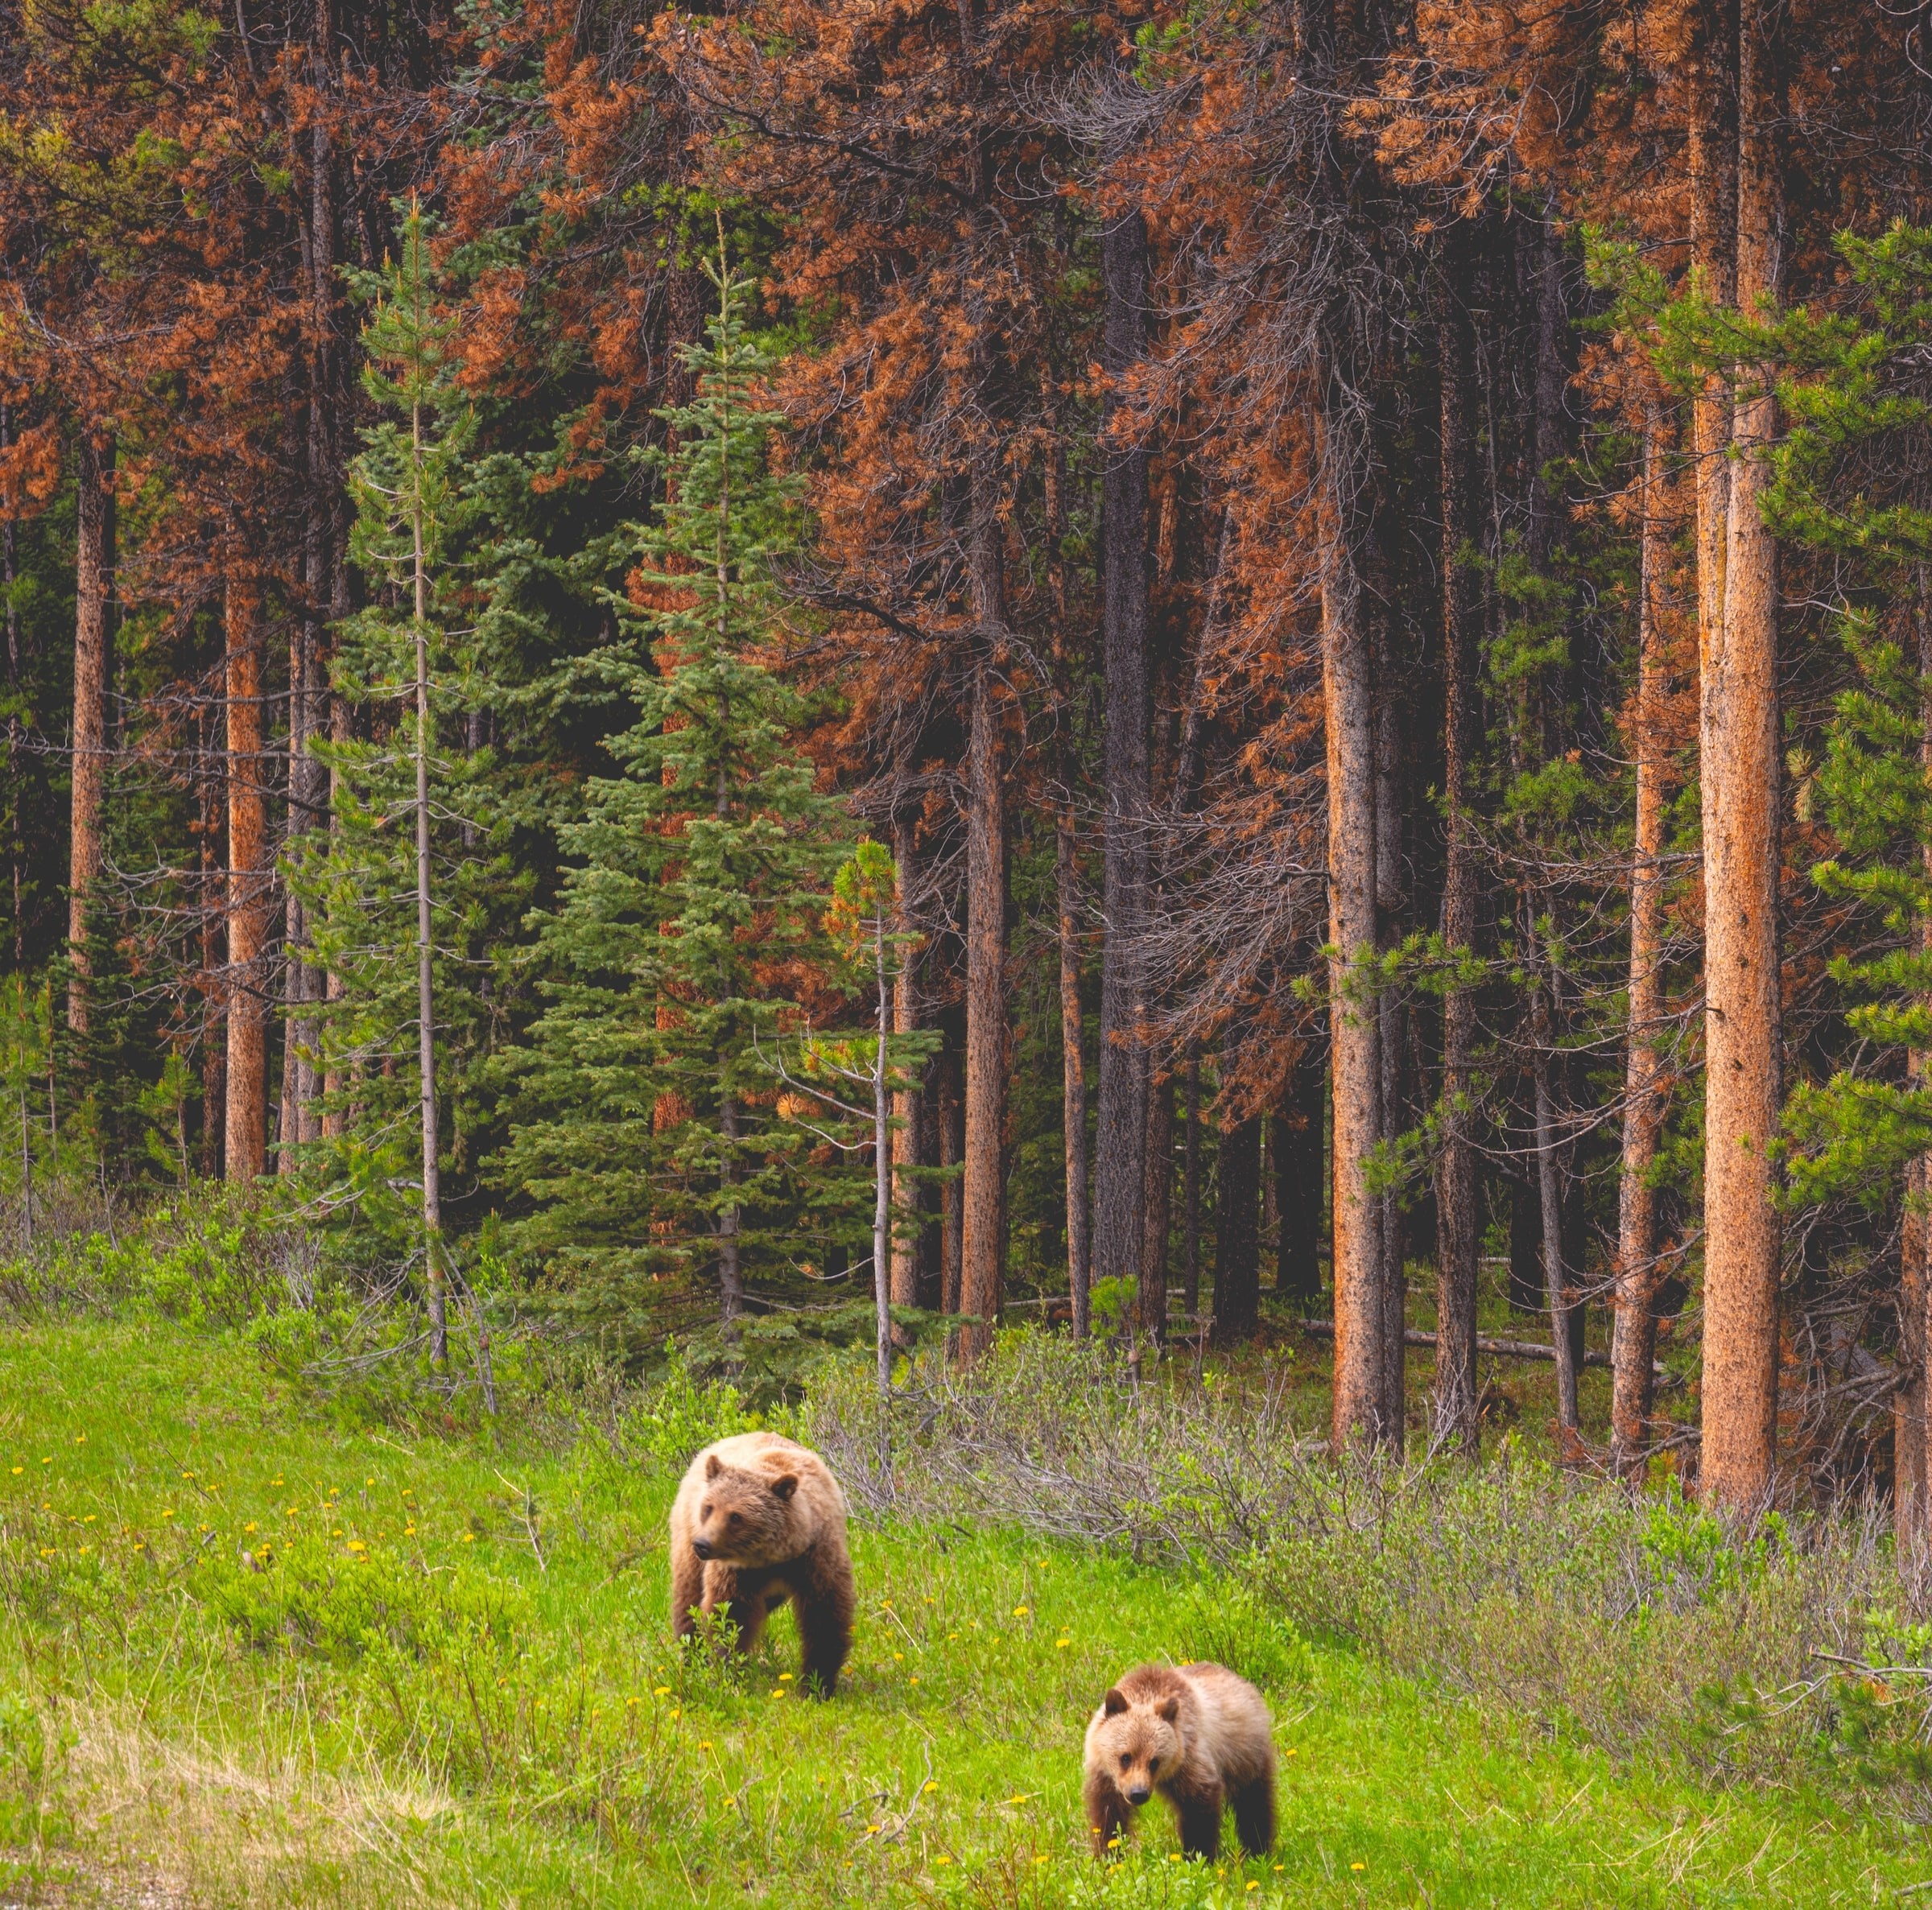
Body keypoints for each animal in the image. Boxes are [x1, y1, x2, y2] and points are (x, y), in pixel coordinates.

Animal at [667, 1432, 855, 1697]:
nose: (702, 1544)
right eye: (709, 1507)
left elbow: (824, 1615)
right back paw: (693, 1656)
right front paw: (731, 1670)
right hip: (687, 1538)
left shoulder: (815, 1558)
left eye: (736, 1516)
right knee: (688, 1599)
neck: (773, 1557)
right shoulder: (736, 1572)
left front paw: (817, 1684)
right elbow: (730, 1614)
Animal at [1082, 1661, 1277, 1861]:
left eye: (1154, 1761)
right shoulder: (1106, 1775)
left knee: (1253, 1804)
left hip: (1245, 1755)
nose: (1138, 1793)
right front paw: (1108, 1855)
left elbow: (1198, 1811)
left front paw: (1197, 1856)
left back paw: (1258, 1852)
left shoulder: (1189, 1760)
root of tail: (1243, 1682)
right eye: (1126, 1757)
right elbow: (1108, 1815)